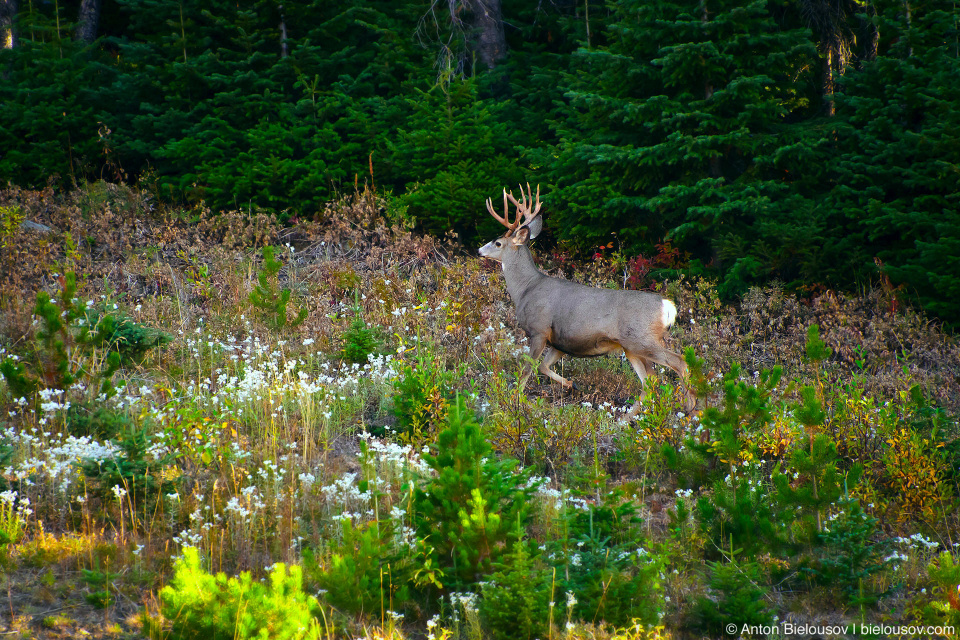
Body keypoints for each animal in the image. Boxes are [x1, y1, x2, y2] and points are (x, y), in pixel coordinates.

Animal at [480, 182, 696, 418]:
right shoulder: (560, 341)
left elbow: (527, 370)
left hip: (642, 339)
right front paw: (571, 384)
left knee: (679, 362)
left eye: (497, 243)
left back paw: (691, 409)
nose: (479, 250)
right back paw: (626, 419)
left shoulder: (539, 330)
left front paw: (515, 403)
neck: (526, 289)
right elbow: (543, 367)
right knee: (650, 380)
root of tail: (667, 307)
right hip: (631, 347)